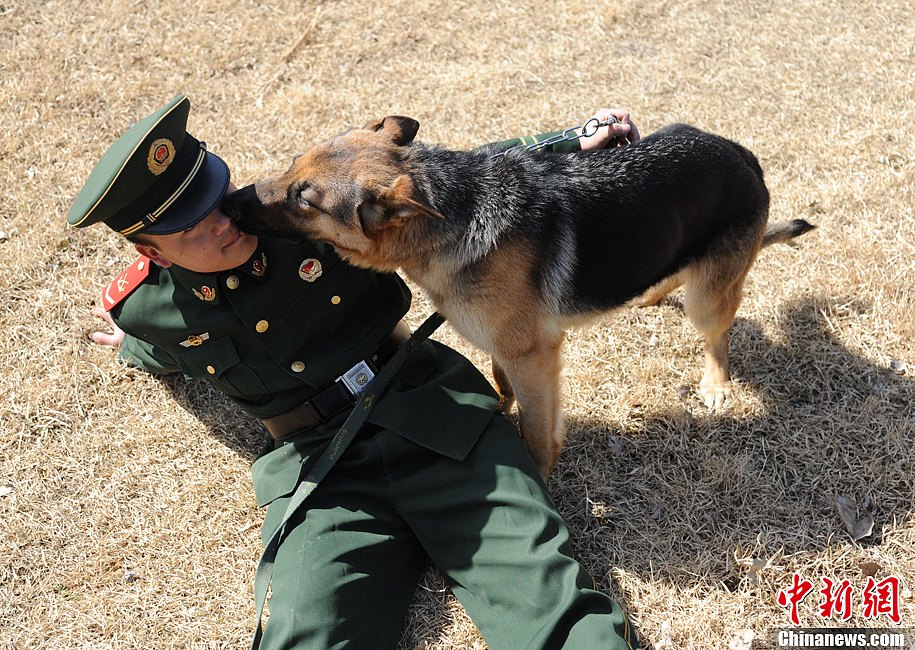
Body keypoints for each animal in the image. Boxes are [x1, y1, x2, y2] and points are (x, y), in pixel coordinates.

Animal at [227, 117, 816, 476]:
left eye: (305, 200)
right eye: (292, 164)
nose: (231, 204)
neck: (455, 212)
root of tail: (742, 155)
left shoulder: (535, 355)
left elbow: (535, 431)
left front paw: (538, 474)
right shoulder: (508, 345)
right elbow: (499, 378)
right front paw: (496, 404)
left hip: (709, 298)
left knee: (717, 333)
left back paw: (715, 382)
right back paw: (650, 292)